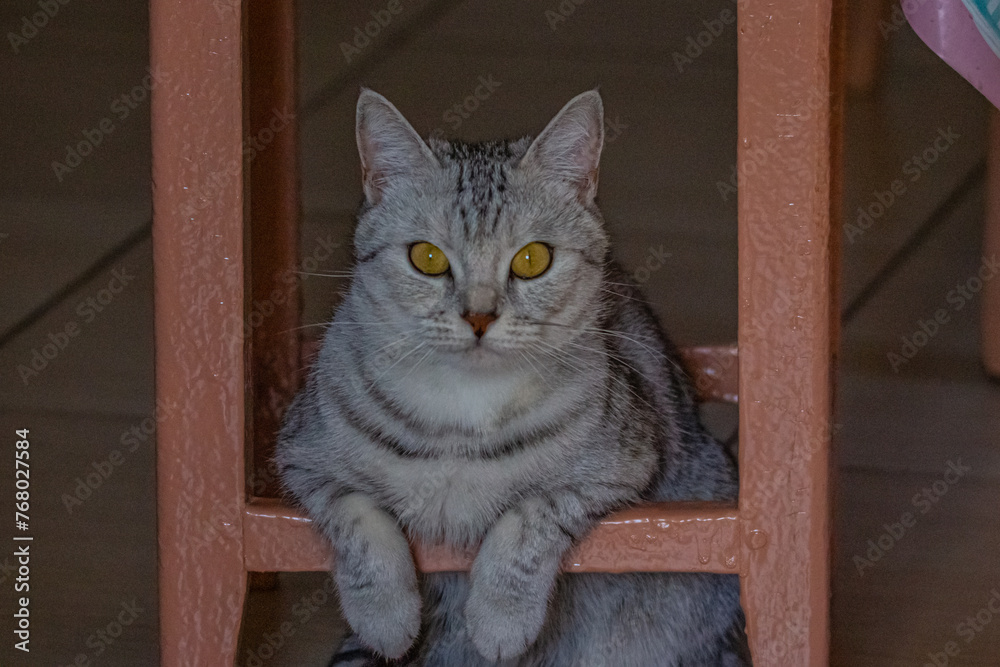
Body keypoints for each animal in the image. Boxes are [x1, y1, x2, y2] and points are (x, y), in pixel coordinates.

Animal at [274, 90, 752, 667]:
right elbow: (358, 520)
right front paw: (385, 619)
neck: (462, 412)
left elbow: (530, 517)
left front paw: (500, 619)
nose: (479, 317)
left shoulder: (624, 464)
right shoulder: (301, 454)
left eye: (532, 259)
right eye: (427, 257)